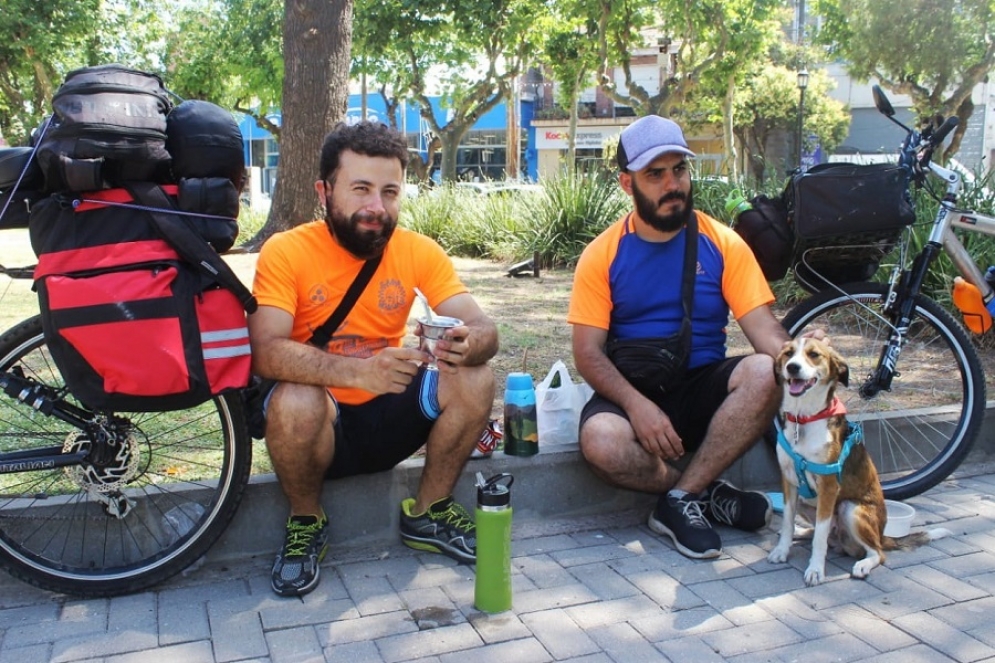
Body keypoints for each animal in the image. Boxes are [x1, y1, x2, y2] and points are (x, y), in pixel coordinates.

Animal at [768, 338, 952, 588]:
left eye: (814, 354)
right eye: (788, 353)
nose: (792, 367)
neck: (803, 419)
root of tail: (882, 534)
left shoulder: (828, 487)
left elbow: (820, 539)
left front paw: (815, 570)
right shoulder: (789, 481)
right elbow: (787, 521)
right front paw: (782, 550)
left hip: (851, 509)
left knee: (876, 553)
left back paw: (863, 565)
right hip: (809, 504)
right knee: (820, 531)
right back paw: (802, 531)